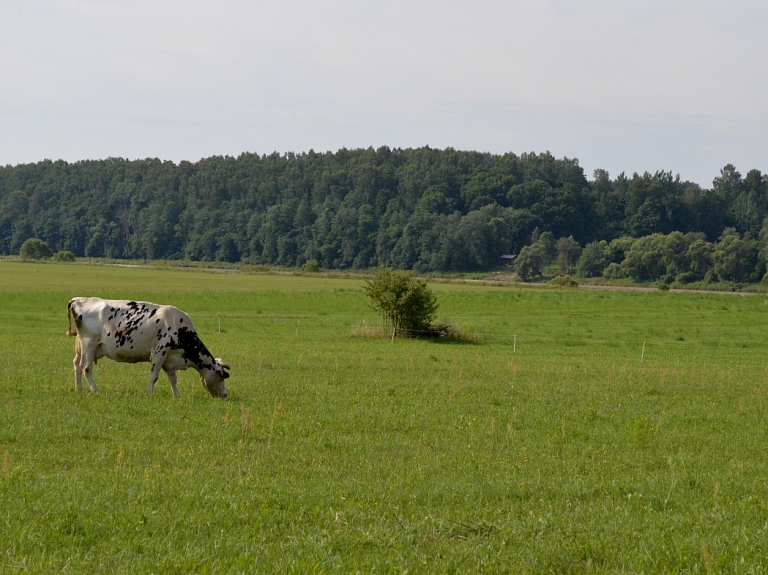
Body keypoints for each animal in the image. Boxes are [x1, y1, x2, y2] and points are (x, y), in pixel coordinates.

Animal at [66, 300, 230, 398]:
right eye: (221, 377)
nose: (225, 394)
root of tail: (78, 299)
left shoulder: (169, 359)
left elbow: (173, 379)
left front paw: (176, 395)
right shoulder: (159, 352)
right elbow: (154, 376)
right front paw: (149, 394)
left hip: (81, 347)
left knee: (77, 365)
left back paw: (79, 389)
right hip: (89, 344)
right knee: (86, 368)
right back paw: (95, 390)